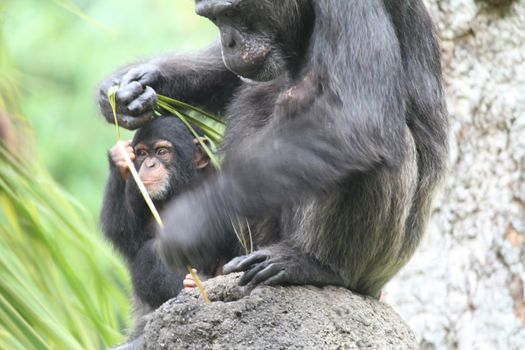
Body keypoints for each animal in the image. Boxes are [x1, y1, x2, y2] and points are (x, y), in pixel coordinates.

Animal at [97, 0, 446, 300]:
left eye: (231, 13)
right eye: (213, 18)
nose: (229, 42)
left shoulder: (351, 5)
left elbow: (357, 119)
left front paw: (194, 219)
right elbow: (231, 79)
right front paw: (131, 87)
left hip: (378, 265)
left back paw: (312, 265)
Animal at [101, 115, 239, 348]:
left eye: (162, 151)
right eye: (142, 153)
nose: (149, 164)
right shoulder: (142, 198)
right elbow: (128, 238)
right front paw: (120, 159)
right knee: (150, 253)